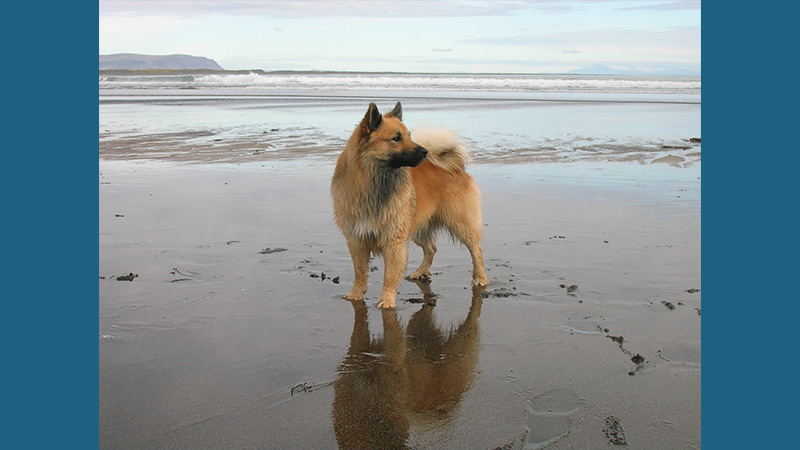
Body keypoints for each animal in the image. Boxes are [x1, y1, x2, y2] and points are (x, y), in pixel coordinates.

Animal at [332, 101, 488, 310]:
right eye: (396, 138)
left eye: (409, 135)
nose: (425, 152)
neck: (374, 182)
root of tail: (456, 167)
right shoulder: (357, 238)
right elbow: (360, 271)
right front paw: (356, 294)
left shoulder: (393, 240)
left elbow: (389, 276)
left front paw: (387, 301)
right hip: (418, 226)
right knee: (431, 248)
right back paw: (420, 272)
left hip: (460, 223)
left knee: (476, 250)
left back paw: (481, 277)